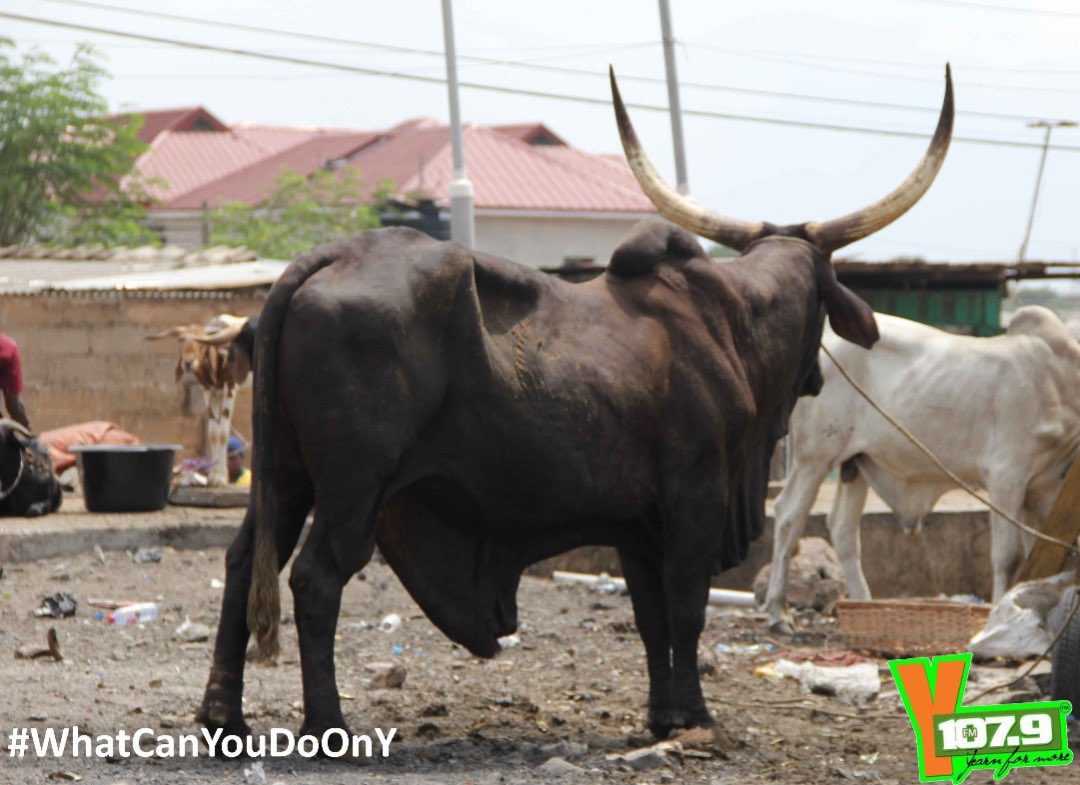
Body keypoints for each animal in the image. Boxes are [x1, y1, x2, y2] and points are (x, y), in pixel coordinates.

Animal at [149, 315, 257, 486]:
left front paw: (221, 478)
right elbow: (213, 432)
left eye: (201, 342)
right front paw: (213, 477)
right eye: (180, 340)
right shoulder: (208, 390)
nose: (188, 362)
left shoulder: (230, 389)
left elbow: (223, 432)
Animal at [196, 67, 953, 745]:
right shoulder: (695, 502)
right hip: (353, 487)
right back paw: (328, 724)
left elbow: (652, 618)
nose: (820, 378)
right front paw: (697, 717)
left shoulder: (637, 525)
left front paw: (663, 715)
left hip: (284, 475)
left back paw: (223, 717)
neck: (732, 321)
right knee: (317, 578)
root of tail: (324, 260)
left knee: (241, 563)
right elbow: (686, 609)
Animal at [764, 307, 1080, 633]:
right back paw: (778, 613)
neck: (1060, 380)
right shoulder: (1007, 476)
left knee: (843, 528)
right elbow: (1008, 556)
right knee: (789, 516)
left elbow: (1037, 554)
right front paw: (996, 616)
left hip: (856, 462)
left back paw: (865, 604)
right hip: (814, 456)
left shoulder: (1038, 491)